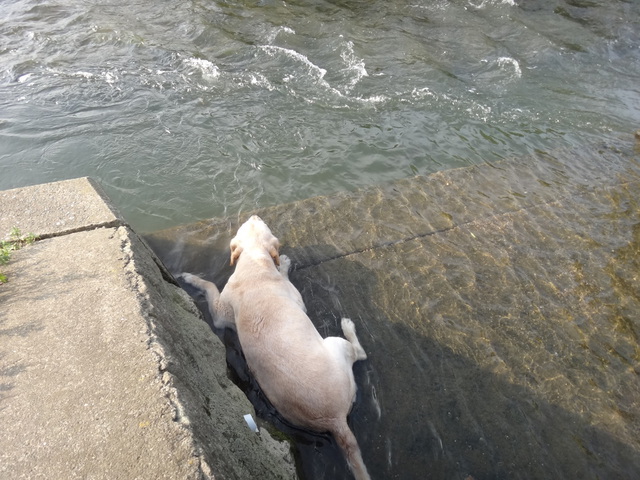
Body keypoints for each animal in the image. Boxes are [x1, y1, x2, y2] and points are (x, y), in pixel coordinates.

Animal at [180, 216, 370, 480]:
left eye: (248, 224)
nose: (254, 216)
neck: (254, 262)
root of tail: (336, 420)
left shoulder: (219, 314)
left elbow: (209, 286)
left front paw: (189, 278)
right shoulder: (293, 298)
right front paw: (284, 264)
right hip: (335, 344)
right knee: (360, 353)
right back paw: (348, 325)